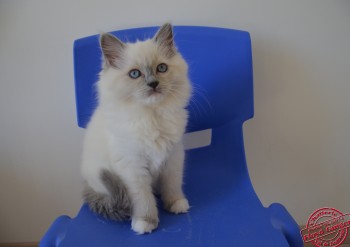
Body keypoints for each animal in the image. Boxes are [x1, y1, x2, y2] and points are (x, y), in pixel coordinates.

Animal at [81, 22, 193, 233]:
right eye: (135, 74)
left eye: (161, 68)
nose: (153, 84)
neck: (151, 117)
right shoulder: (133, 168)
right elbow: (144, 199)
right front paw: (145, 222)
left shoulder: (173, 157)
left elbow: (172, 185)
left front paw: (176, 204)